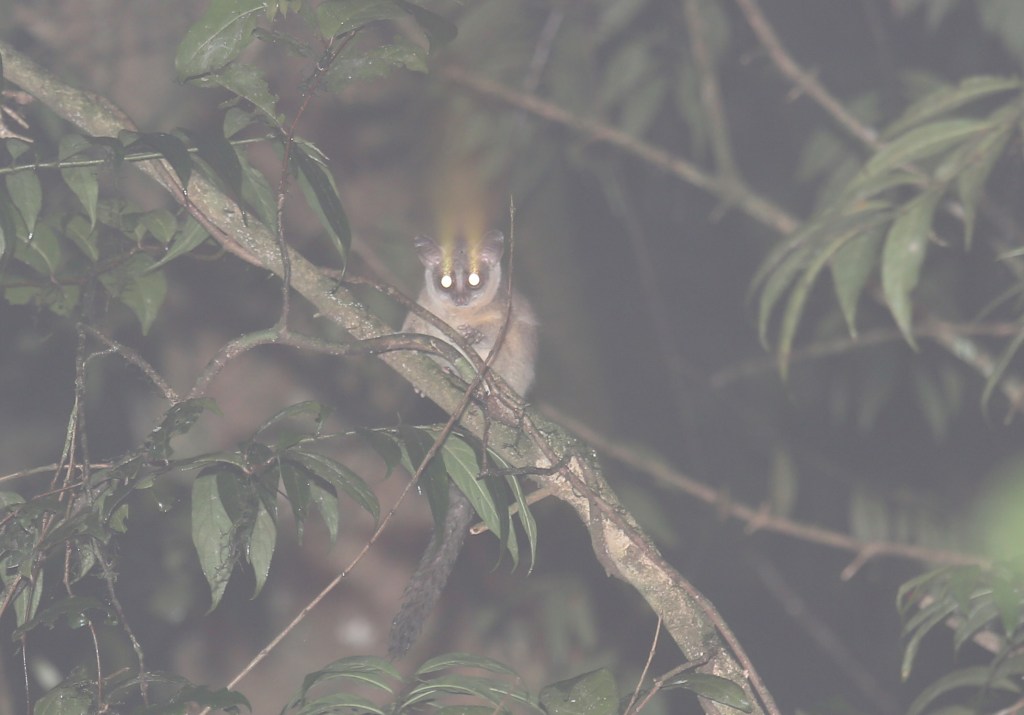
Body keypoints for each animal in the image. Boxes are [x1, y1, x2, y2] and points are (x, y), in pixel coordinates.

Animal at [388, 228, 538, 659]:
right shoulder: (421, 311)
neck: (457, 316)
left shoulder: (508, 315)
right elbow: (409, 331)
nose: (458, 299)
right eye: (443, 281)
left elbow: (500, 332)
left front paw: (471, 337)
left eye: (473, 280)